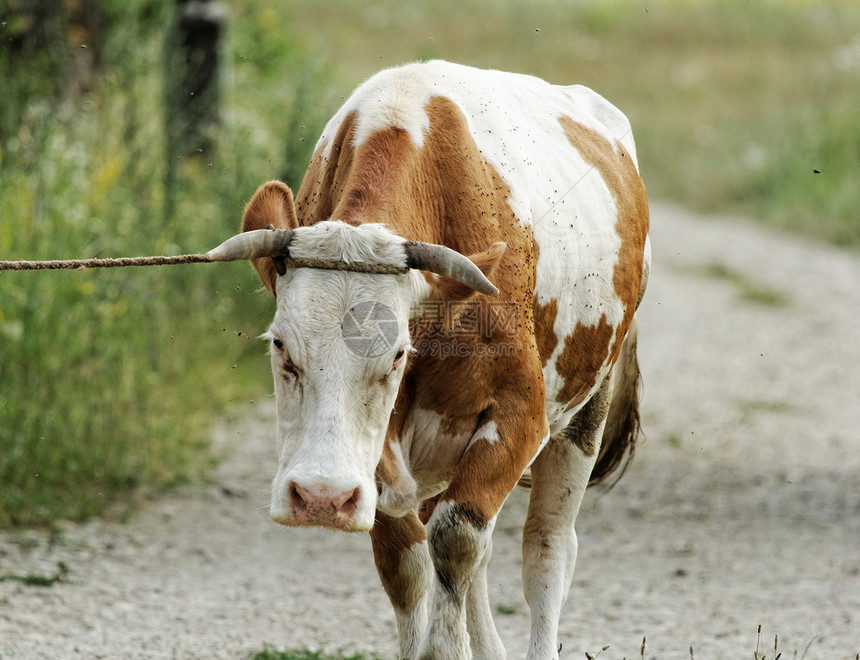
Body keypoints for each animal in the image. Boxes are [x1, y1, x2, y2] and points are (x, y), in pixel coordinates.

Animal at [210, 60, 652, 660]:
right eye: (280, 344)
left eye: (398, 354)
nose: (322, 498)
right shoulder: (379, 458)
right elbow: (408, 564)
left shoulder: (521, 415)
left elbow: (458, 538)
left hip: (586, 411)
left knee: (546, 548)